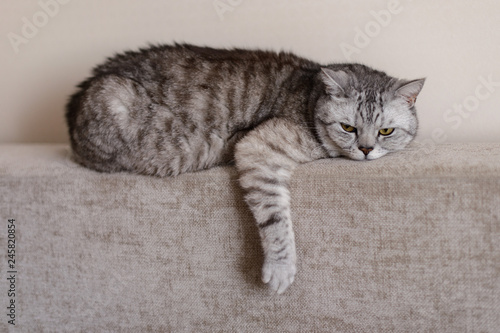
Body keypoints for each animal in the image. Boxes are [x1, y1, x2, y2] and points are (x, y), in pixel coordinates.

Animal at [65, 43, 426, 294]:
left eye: (385, 131)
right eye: (348, 128)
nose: (365, 149)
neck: (309, 95)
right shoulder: (258, 148)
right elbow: (276, 220)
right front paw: (281, 267)